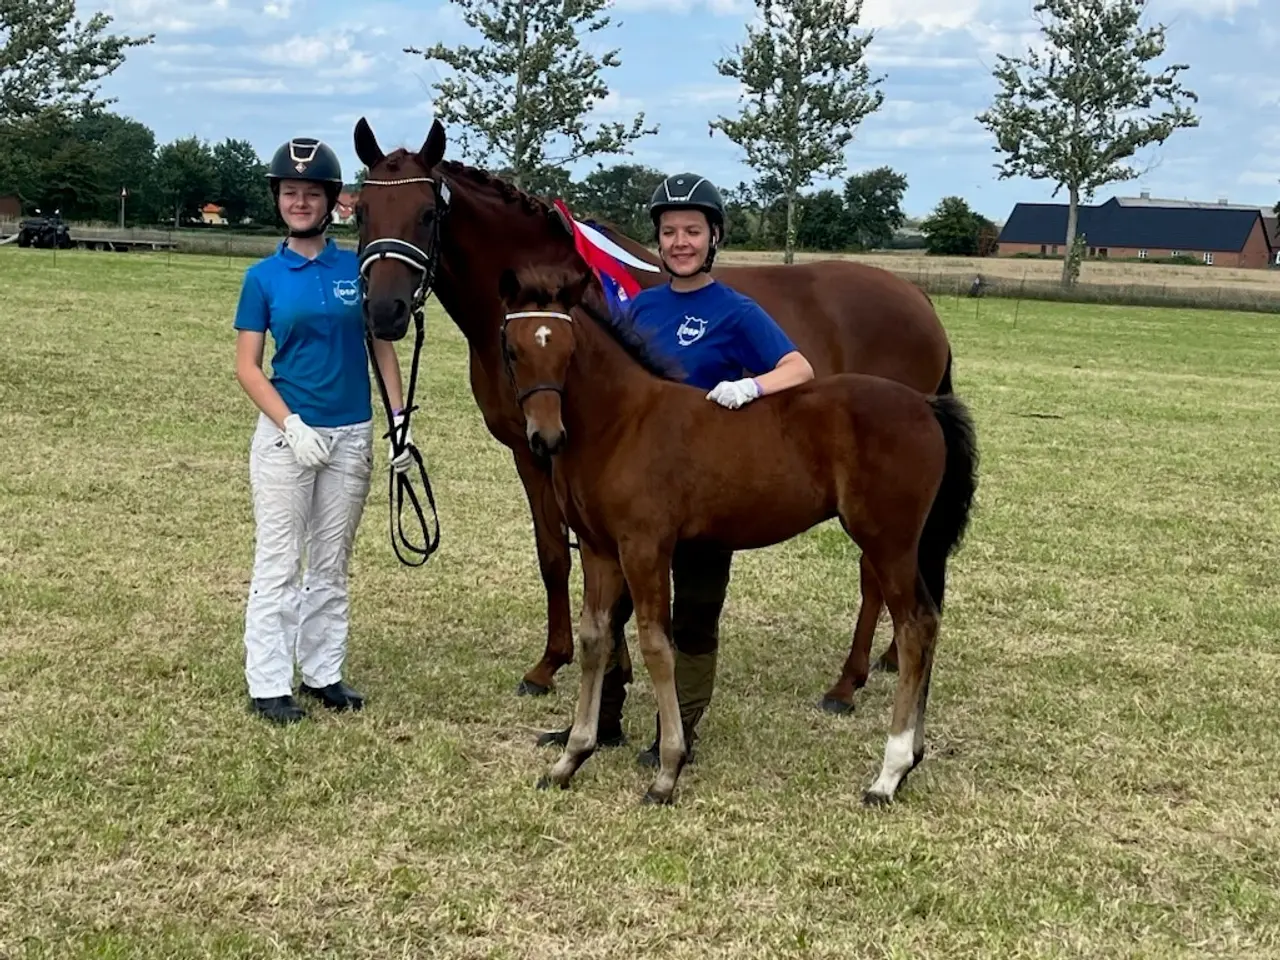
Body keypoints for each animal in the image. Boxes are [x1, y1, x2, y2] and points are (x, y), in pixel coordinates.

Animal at [353, 117, 955, 715]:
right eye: (361, 211)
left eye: (427, 214)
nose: (384, 312)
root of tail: (919, 300)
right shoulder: (533, 454)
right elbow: (554, 556)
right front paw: (554, 664)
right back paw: (887, 659)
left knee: (875, 575)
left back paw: (848, 681)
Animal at [495, 264, 978, 805]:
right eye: (512, 349)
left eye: (567, 350)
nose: (545, 438)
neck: (623, 424)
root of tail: (926, 405)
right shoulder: (600, 551)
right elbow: (596, 639)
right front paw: (571, 758)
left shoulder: (645, 548)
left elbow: (656, 644)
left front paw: (667, 770)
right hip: (907, 546)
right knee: (929, 622)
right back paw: (911, 757)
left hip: (888, 542)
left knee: (915, 627)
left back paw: (888, 773)